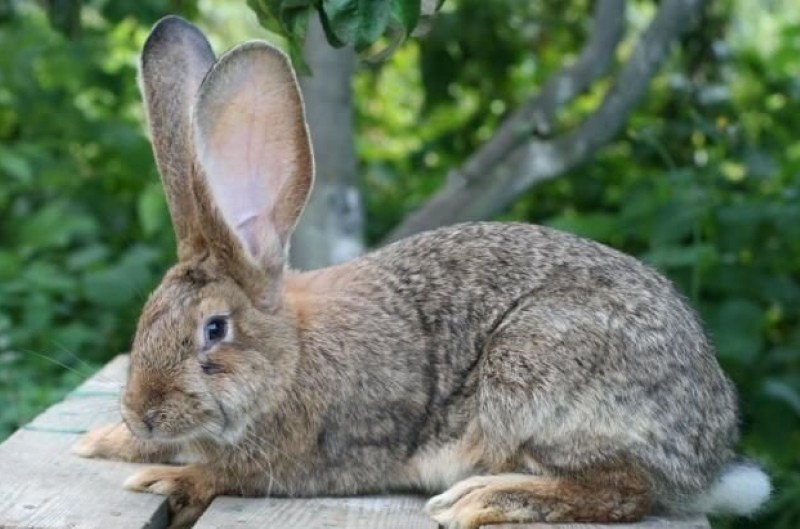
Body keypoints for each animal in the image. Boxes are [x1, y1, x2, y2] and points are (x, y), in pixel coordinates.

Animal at [73, 15, 768, 528]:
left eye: (215, 330)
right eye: (148, 319)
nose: (143, 413)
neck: (291, 356)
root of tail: (709, 458)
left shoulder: (305, 456)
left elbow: (222, 474)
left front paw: (162, 475)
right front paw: (103, 440)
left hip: (538, 369)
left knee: (626, 490)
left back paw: (483, 499)